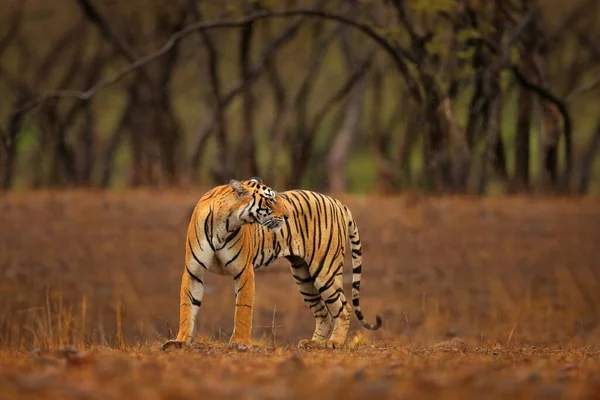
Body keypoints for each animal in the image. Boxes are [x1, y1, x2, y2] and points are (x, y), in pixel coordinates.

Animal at [162, 177, 382, 350]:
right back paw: (313, 343)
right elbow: (187, 306)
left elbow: (243, 308)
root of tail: (337, 202)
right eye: (270, 199)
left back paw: (334, 342)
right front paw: (181, 341)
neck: (224, 224)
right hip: (303, 276)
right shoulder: (193, 271)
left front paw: (240, 342)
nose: (287, 216)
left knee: (343, 308)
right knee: (323, 313)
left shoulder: (244, 271)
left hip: (324, 270)